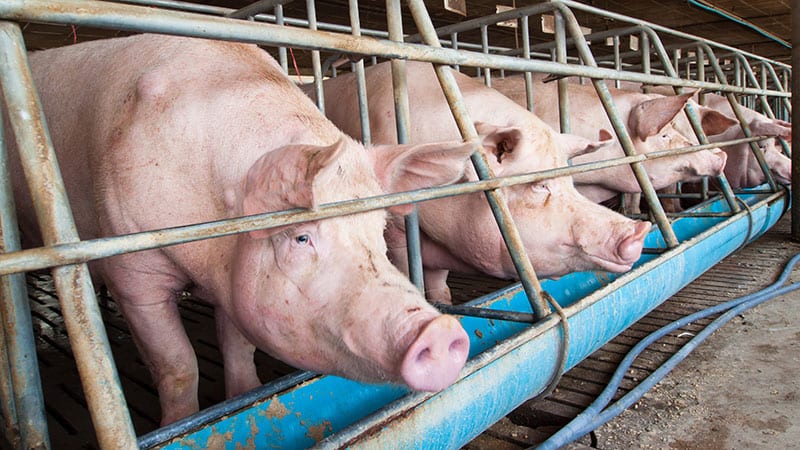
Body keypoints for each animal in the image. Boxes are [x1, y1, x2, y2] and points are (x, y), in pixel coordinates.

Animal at [9, 35, 478, 426]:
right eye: (301, 237)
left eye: (377, 232)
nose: (439, 331)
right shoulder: (132, 267)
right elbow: (177, 364)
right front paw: (178, 423)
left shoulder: (232, 281)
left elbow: (237, 346)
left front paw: (245, 395)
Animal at [304, 60, 652, 302]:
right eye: (539, 185)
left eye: (569, 181)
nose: (639, 230)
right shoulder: (397, 228)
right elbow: (407, 268)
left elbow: (438, 277)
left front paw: (445, 301)